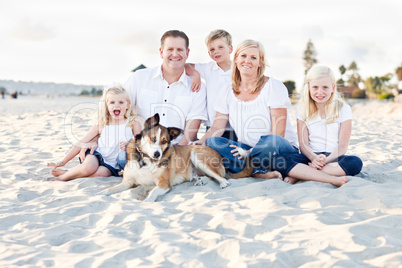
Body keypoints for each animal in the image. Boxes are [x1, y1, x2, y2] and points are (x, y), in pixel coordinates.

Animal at [105, 112, 253, 201]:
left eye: (164, 141)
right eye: (153, 139)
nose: (157, 154)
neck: (146, 160)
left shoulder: (164, 184)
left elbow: (153, 192)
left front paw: (147, 200)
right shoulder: (128, 181)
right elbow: (112, 189)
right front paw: (104, 192)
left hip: (196, 153)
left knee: (221, 177)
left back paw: (222, 183)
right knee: (209, 177)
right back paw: (199, 180)